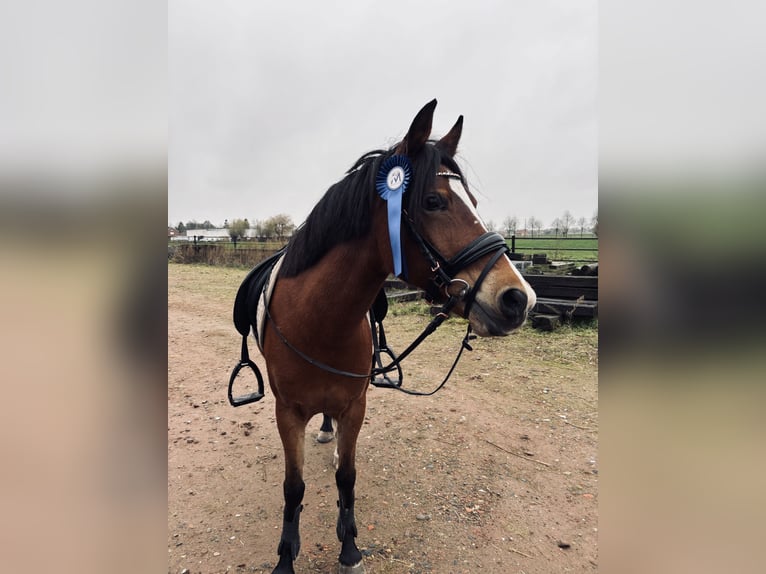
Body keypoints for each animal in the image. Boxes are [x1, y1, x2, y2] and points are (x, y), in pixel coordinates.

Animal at [233, 99, 536, 574]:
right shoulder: (287, 413)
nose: (518, 298)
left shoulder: (355, 405)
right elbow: (293, 487)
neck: (320, 322)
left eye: (472, 202)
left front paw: (349, 547)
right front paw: (285, 556)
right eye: (433, 201)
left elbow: (347, 477)